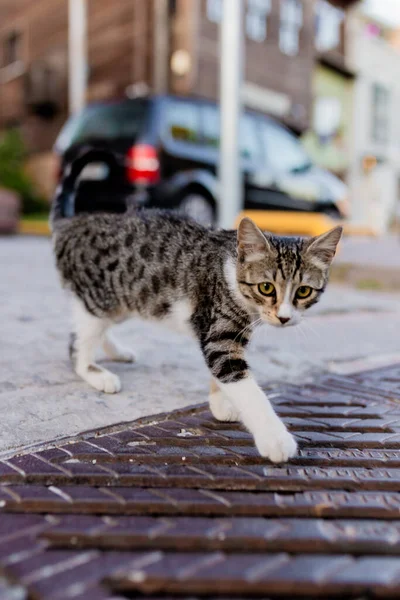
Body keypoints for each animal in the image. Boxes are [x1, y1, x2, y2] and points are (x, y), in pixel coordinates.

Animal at [50, 148, 340, 462]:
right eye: (266, 287)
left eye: (303, 291)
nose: (284, 318)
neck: (231, 272)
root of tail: (73, 223)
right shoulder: (218, 330)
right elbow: (244, 385)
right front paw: (275, 439)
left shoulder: (230, 334)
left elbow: (221, 372)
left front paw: (220, 402)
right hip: (100, 298)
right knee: (76, 344)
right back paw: (96, 373)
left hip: (122, 300)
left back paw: (116, 351)